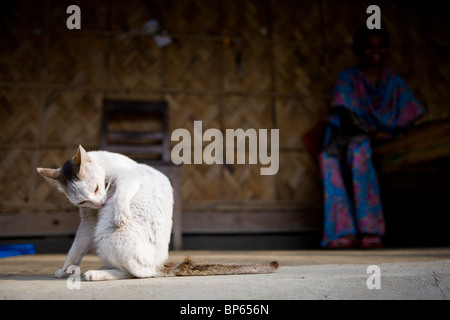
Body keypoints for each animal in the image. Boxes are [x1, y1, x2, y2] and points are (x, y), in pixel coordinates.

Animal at [37, 146, 278, 282]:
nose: (101, 203)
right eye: (84, 200)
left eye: (96, 188)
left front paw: (120, 212)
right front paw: (65, 269)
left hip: (107, 235)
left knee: (140, 273)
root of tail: (161, 263)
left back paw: (98, 273)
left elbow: (122, 194)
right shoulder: (88, 218)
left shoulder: (130, 176)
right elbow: (76, 247)